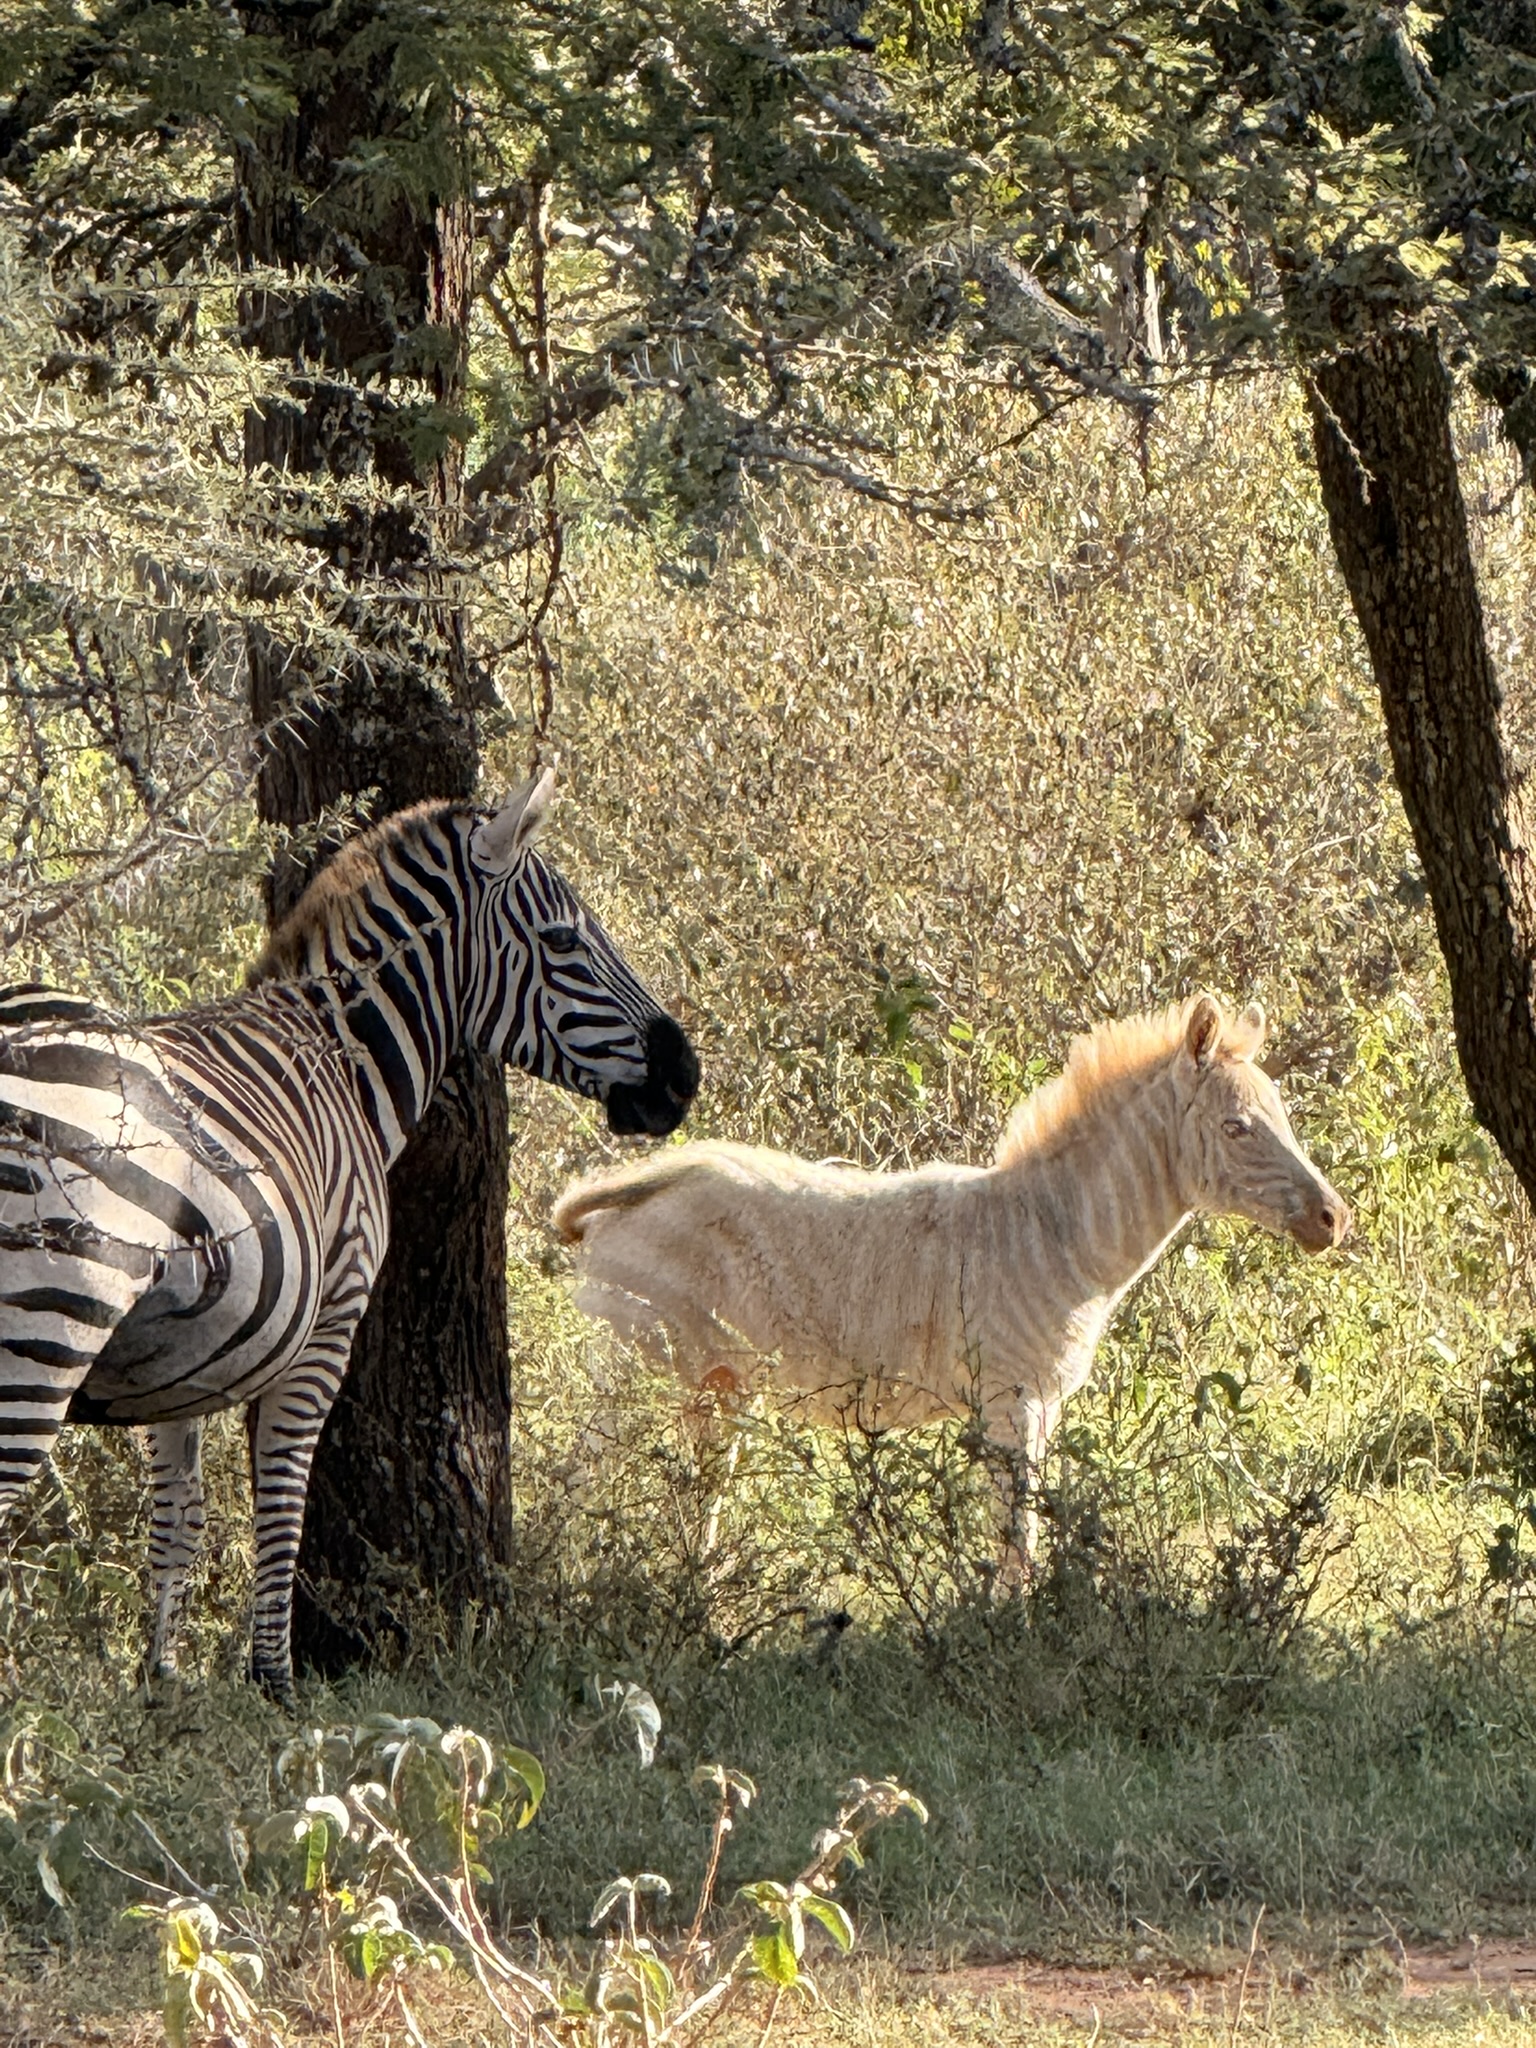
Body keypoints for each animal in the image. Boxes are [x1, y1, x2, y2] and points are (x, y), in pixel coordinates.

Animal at [0, 768, 698, 1701]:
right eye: (562, 940)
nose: (685, 1073)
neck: (343, 1063)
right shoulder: (334, 1309)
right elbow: (282, 1495)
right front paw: (273, 1679)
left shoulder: (175, 1360)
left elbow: (178, 1518)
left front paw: (162, 1687)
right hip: (49, 1319)